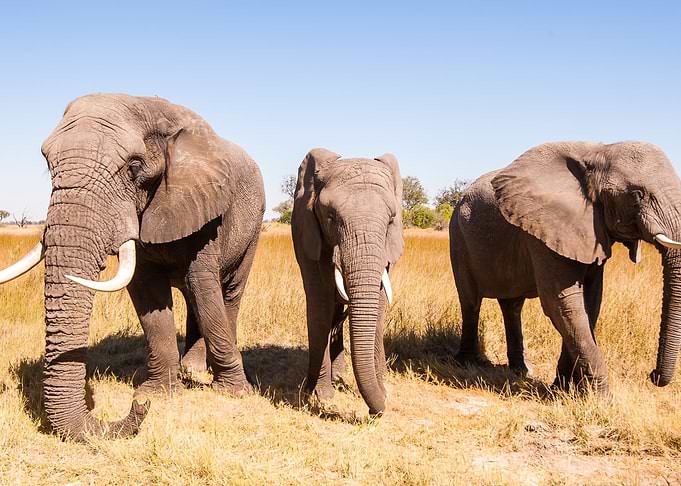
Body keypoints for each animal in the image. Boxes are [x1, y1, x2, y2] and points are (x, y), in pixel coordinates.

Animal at [0, 94, 265, 440]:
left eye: (134, 167)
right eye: (48, 163)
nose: (137, 407)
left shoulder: (203, 204)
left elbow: (203, 284)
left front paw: (233, 392)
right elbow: (147, 291)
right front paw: (157, 394)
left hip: (253, 226)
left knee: (226, 293)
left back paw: (203, 366)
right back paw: (190, 367)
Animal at [291, 148, 403, 415]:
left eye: (391, 220)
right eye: (330, 217)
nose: (374, 413)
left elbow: (378, 311)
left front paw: (382, 391)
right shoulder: (308, 234)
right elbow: (319, 306)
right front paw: (323, 396)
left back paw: (339, 376)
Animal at [450, 141, 681, 393]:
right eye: (637, 195)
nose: (653, 375)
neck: (597, 152)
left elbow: (590, 302)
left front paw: (564, 388)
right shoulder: (542, 227)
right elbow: (562, 302)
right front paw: (600, 397)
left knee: (512, 306)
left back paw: (521, 370)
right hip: (459, 237)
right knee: (470, 301)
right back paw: (467, 363)